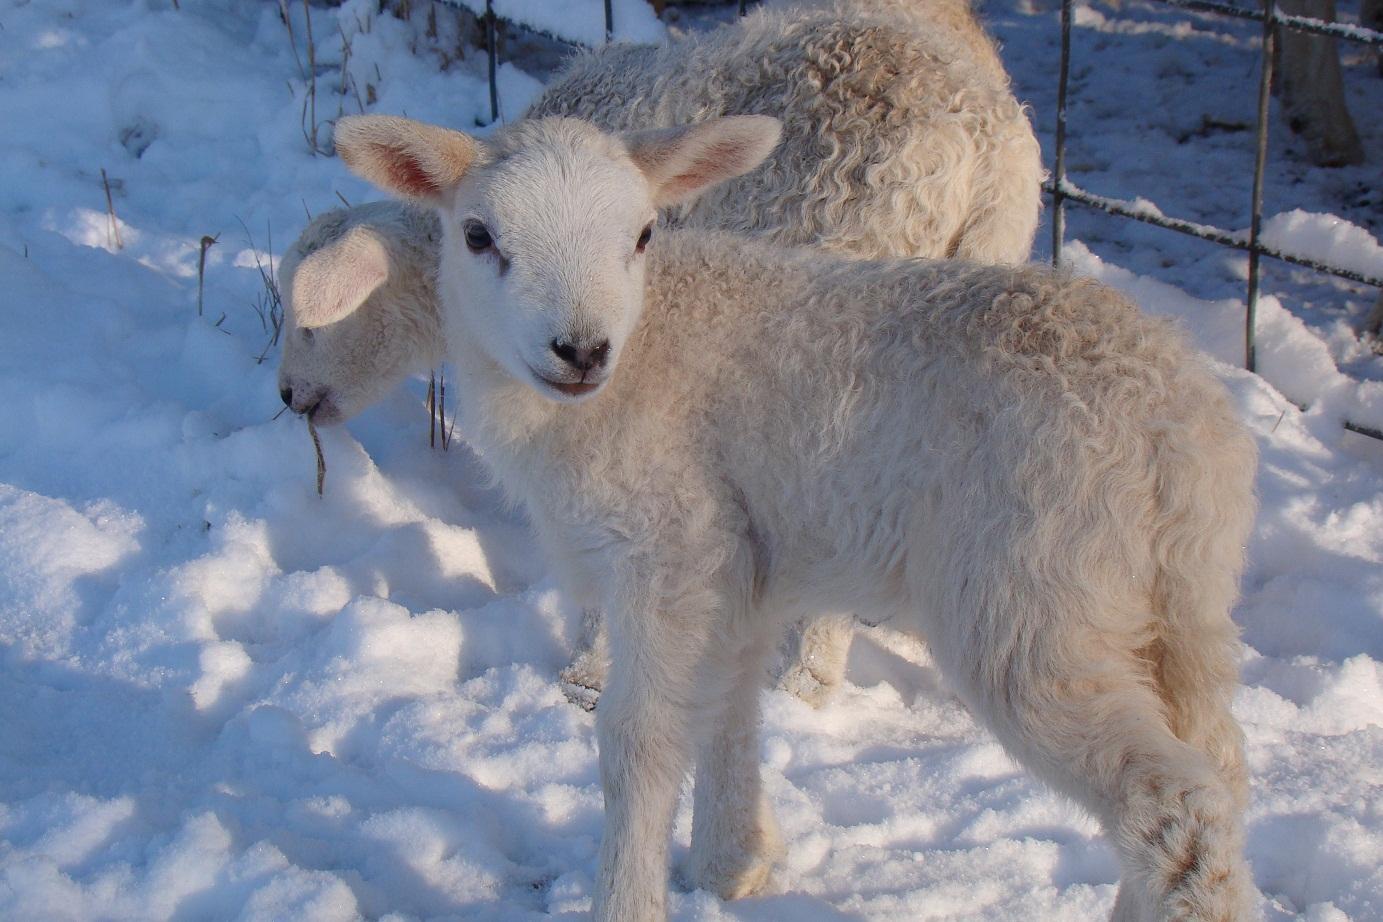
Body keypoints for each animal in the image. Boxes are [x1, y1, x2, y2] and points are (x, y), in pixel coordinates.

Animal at [329, 113, 1261, 922]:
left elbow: (638, 744)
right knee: (1220, 765)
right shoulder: (736, 559)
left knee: (1176, 803)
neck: (633, 360)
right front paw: (730, 864)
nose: (580, 350)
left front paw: (633, 897)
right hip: (1173, 601)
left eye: (642, 235)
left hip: (1034, 593)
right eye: (477, 236)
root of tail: (1175, 427)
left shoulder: (668, 544)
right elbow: (727, 705)